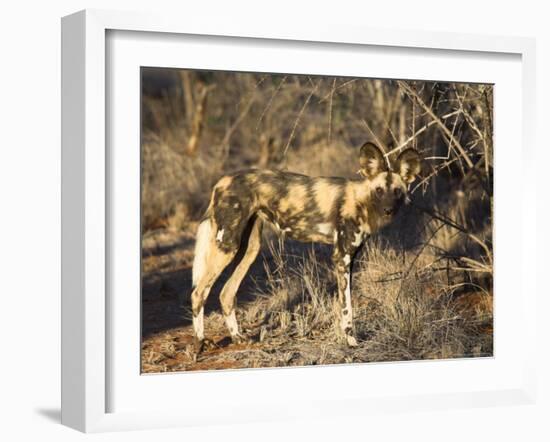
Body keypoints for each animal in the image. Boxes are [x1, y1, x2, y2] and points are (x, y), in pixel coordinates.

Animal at [190, 142, 422, 352]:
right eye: (379, 190)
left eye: (397, 191)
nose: (388, 210)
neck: (362, 201)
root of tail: (223, 180)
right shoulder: (341, 258)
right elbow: (346, 308)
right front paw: (351, 342)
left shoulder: (350, 259)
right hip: (227, 246)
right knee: (198, 292)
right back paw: (201, 342)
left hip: (249, 249)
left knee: (226, 293)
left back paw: (237, 337)